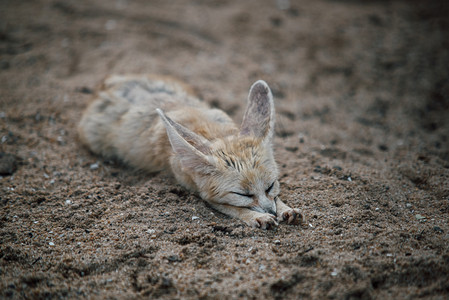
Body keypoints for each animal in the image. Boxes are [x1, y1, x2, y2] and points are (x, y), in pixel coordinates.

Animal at [78, 75, 300, 230]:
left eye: (270, 186)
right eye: (243, 194)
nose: (271, 212)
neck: (213, 131)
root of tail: (105, 84)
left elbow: (277, 199)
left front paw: (284, 208)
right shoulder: (199, 191)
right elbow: (232, 207)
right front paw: (257, 216)